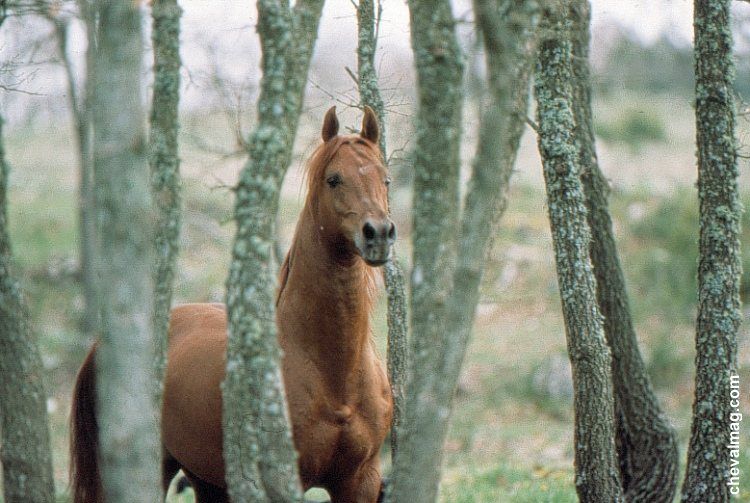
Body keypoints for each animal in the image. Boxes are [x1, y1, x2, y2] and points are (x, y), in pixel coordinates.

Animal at [70, 107, 396, 503]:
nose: (378, 233)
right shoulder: (280, 481)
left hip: (206, 479)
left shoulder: (360, 481)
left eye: (385, 179)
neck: (333, 375)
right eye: (334, 179)